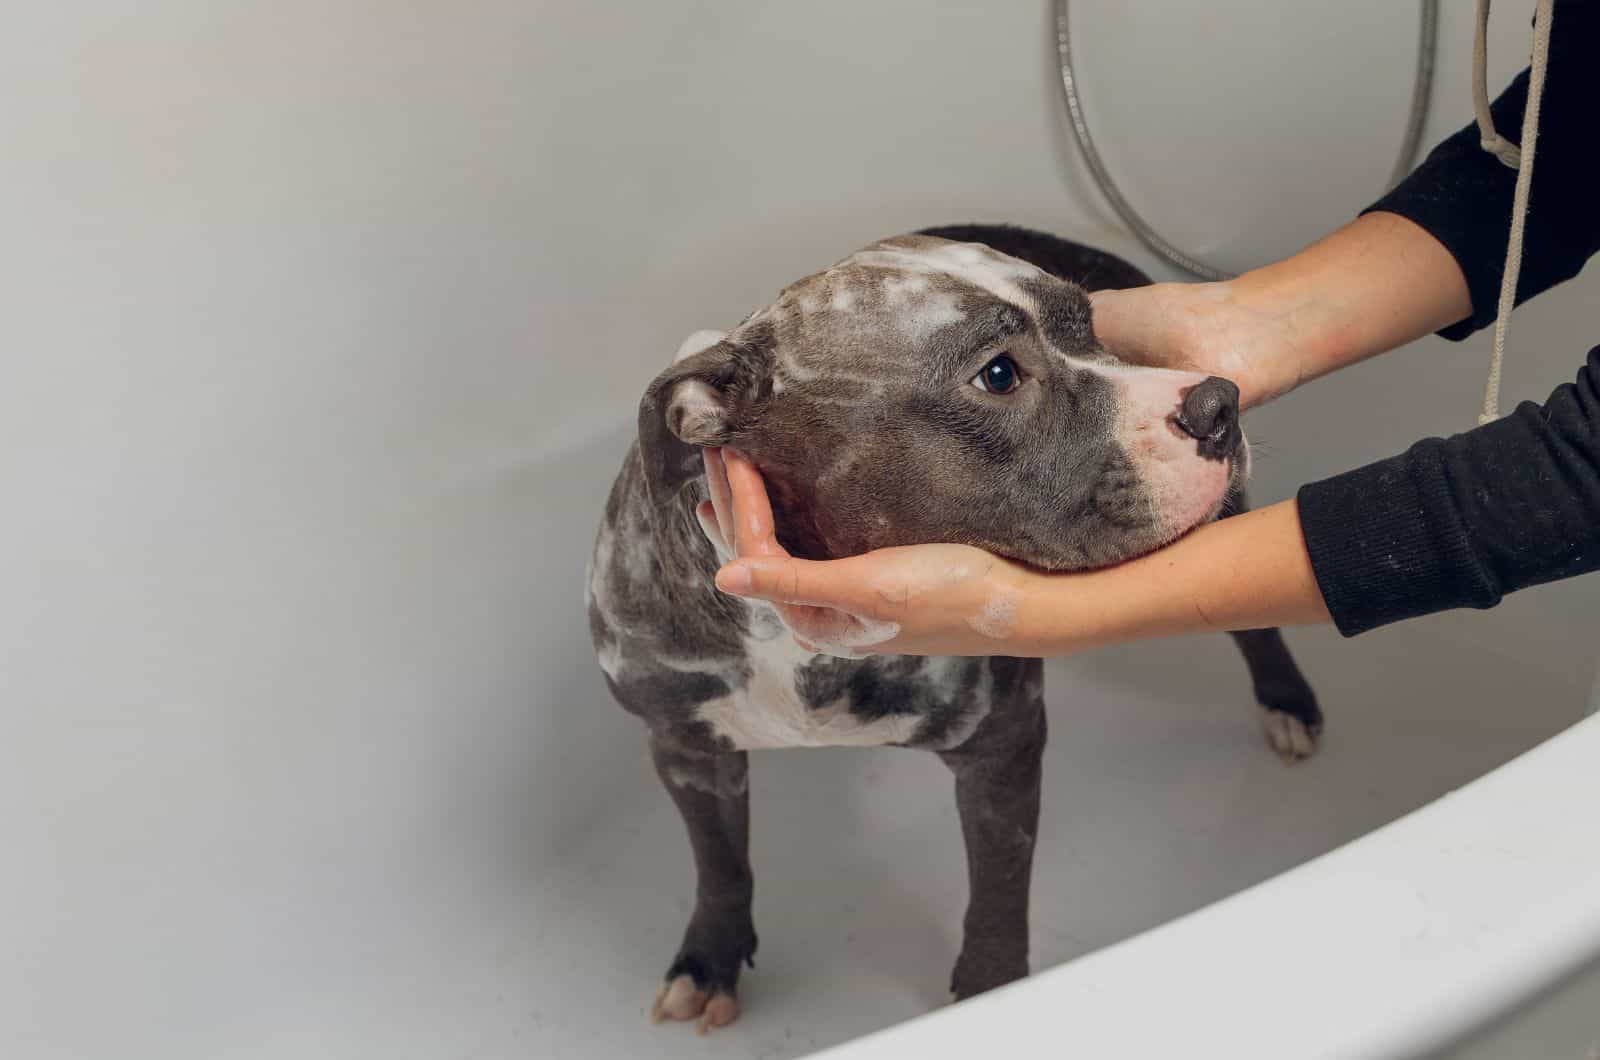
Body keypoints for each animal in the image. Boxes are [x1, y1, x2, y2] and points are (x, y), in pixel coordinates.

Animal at [588, 225, 1324, 1037]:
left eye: (1091, 327)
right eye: (998, 374)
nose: (1217, 401)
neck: (803, 649)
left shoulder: (1001, 746)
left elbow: (998, 892)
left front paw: (992, 993)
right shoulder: (684, 746)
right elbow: (719, 862)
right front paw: (709, 958)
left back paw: (1286, 701)